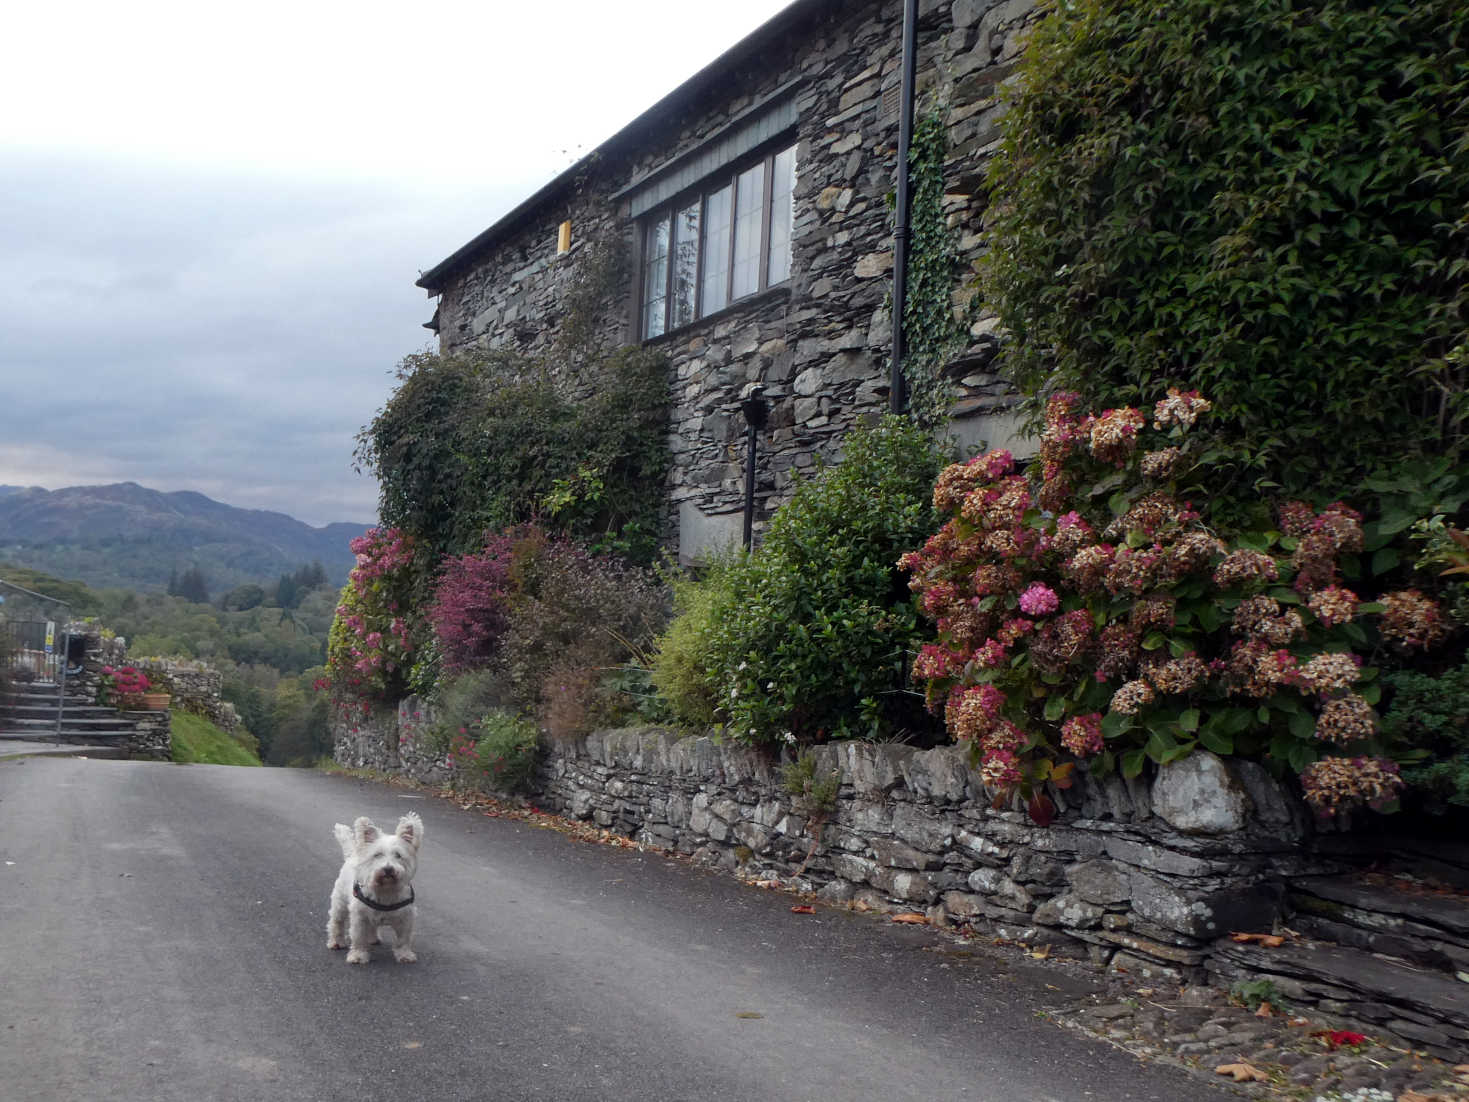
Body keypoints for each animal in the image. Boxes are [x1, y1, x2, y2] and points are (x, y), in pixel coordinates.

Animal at [329, 816, 426, 963]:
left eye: (398, 855)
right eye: (377, 855)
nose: (388, 869)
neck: (385, 889)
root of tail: (352, 855)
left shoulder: (406, 918)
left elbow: (403, 939)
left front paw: (404, 955)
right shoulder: (359, 917)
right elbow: (358, 937)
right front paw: (358, 955)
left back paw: (373, 939)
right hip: (340, 902)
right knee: (336, 922)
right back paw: (336, 942)